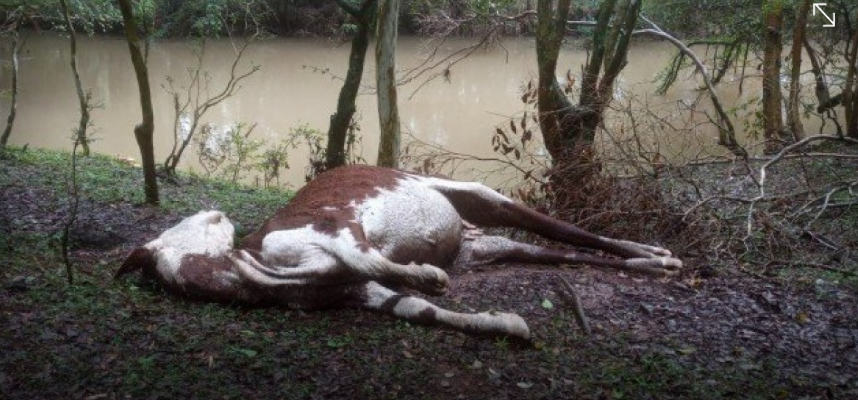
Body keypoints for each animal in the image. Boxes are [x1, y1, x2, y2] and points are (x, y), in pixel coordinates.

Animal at [115, 166, 676, 340]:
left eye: (209, 220)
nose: (219, 212)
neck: (265, 272)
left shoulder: (340, 226)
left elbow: (372, 257)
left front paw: (427, 274)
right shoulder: (356, 292)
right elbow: (416, 309)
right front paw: (505, 324)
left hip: (473, 194)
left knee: (572, 232)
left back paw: (659, 253)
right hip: (485, 246)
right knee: (561, 254)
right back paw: (651, 261)